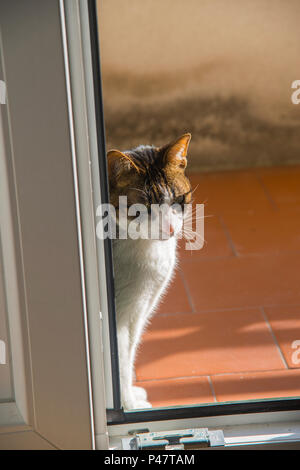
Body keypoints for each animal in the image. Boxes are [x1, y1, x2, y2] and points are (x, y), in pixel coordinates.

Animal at [108, 134, 192, 410]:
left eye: (178, 201)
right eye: (143, 209)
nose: (169, 229)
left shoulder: (140, 309)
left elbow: (130, 354)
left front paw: (131, 399)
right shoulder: (119, 316)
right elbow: (120, 366)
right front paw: (129, 407)